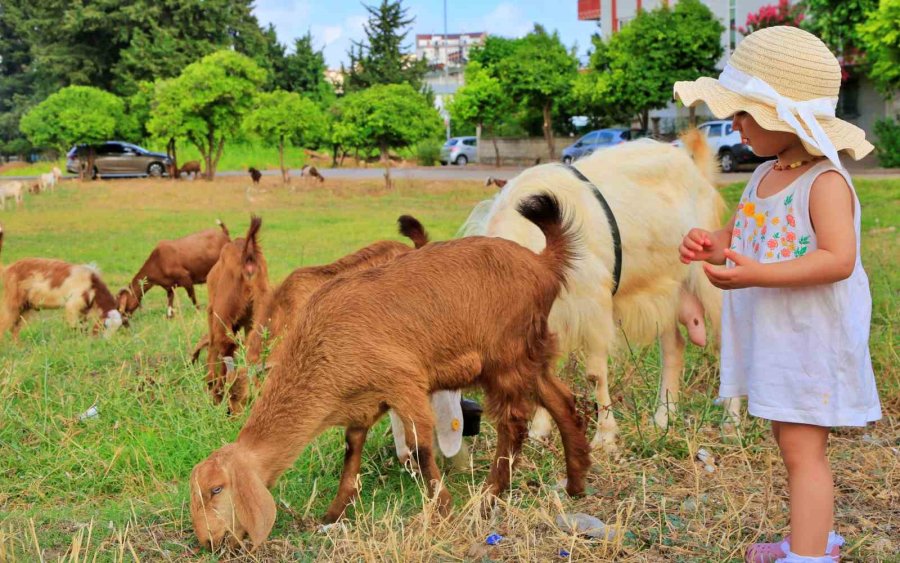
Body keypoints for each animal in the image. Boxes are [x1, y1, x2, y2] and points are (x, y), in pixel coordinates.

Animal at [188, 195, 592, 552]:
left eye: (216, 489)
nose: (209, 542)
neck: (318, 349)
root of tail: (542, 263)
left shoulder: (405, 384)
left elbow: (421, 449)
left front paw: (441, 511)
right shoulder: (363, 404)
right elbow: (351, 454)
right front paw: (333, 514)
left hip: (505, 358)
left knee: (514, 423)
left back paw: (488, 499)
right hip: (531, 355)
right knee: (563, 402)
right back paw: (575, 483)